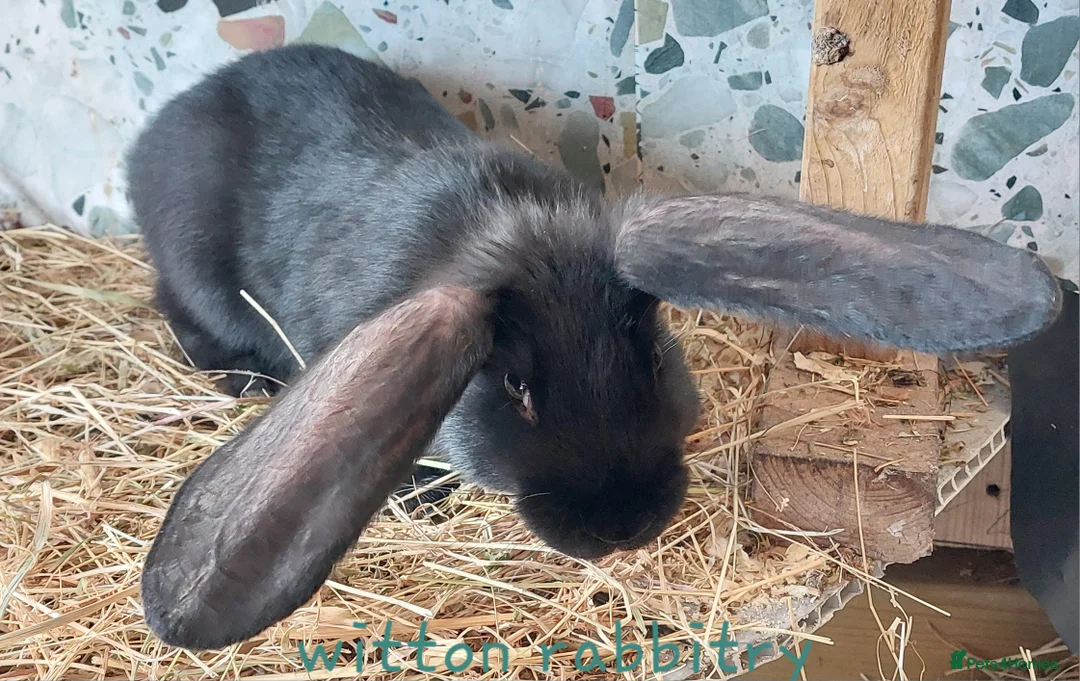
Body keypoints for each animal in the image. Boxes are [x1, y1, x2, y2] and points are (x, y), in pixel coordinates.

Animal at [127, 44, 1062, 651]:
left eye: (652, 356)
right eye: (514, 388)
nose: (624, 525)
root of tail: (160, 128)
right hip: (198, 275)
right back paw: (246, 378)